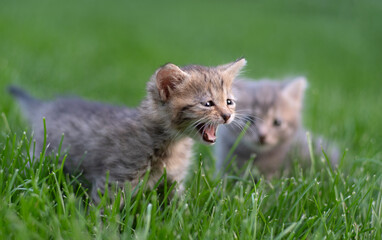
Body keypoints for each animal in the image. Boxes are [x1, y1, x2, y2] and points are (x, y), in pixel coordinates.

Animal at [10, 58, 248, 201]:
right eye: (207, 104)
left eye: (229, 102)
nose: (227, 116)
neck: (173, 144)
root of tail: (48, 105)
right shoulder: (115, 179)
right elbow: (103, 210)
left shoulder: (173, 180)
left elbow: (178, 206)